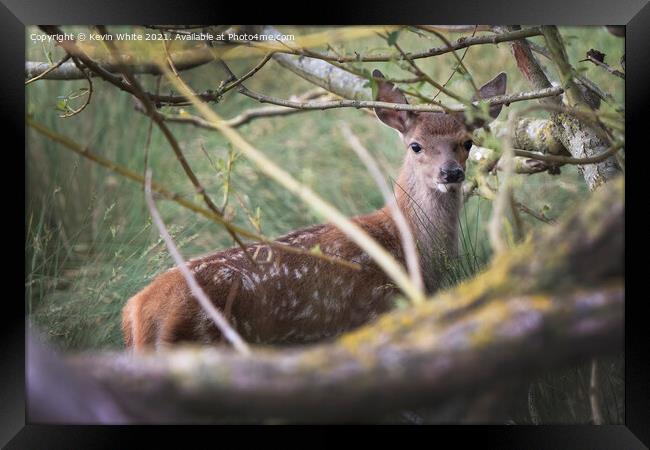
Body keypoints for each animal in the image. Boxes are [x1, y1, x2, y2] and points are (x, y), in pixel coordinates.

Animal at [121, 71, 506, 352]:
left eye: (466, 142)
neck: (409, 246)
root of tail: (137, 310)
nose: (451, 173)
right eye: (416, 146)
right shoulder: (375, 313)